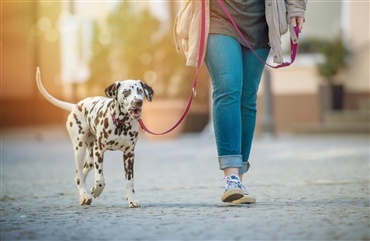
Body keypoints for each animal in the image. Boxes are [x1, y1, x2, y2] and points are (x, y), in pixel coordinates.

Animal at [35, 68, 153, 207]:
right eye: (126, 92)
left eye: (140, 91)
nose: (138, 101)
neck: (121, 123)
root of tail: (75, 105)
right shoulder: (99, 150)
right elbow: (100, 178)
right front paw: (96, 190)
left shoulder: (129, 155)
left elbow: (129, 181)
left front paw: (132, 199)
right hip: (80, 150)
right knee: (79, 175)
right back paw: (85, 196)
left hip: (91, 159)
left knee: (80, 175)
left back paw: (83, 196)